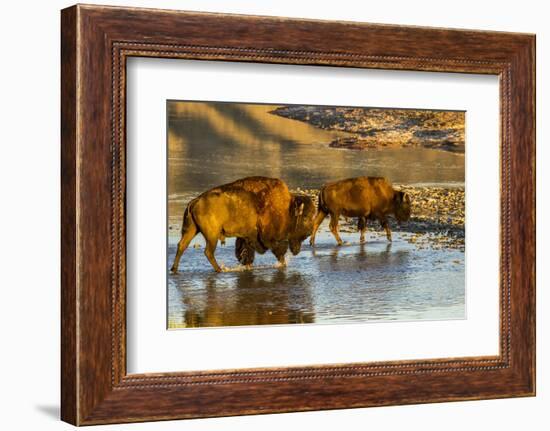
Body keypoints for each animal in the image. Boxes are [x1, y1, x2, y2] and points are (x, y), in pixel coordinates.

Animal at [170, 176, 316, 274]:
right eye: (305, 218)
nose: (309, 232)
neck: (287, 209)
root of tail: (195, 201)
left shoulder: (247, 237)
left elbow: (246, 254)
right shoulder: (268, 238)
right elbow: (279, 252)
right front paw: (283, 265)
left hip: (192, 229)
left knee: (182, 245)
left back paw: (174, 269)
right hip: (211, 235)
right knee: (208, 252)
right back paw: (220, 270)